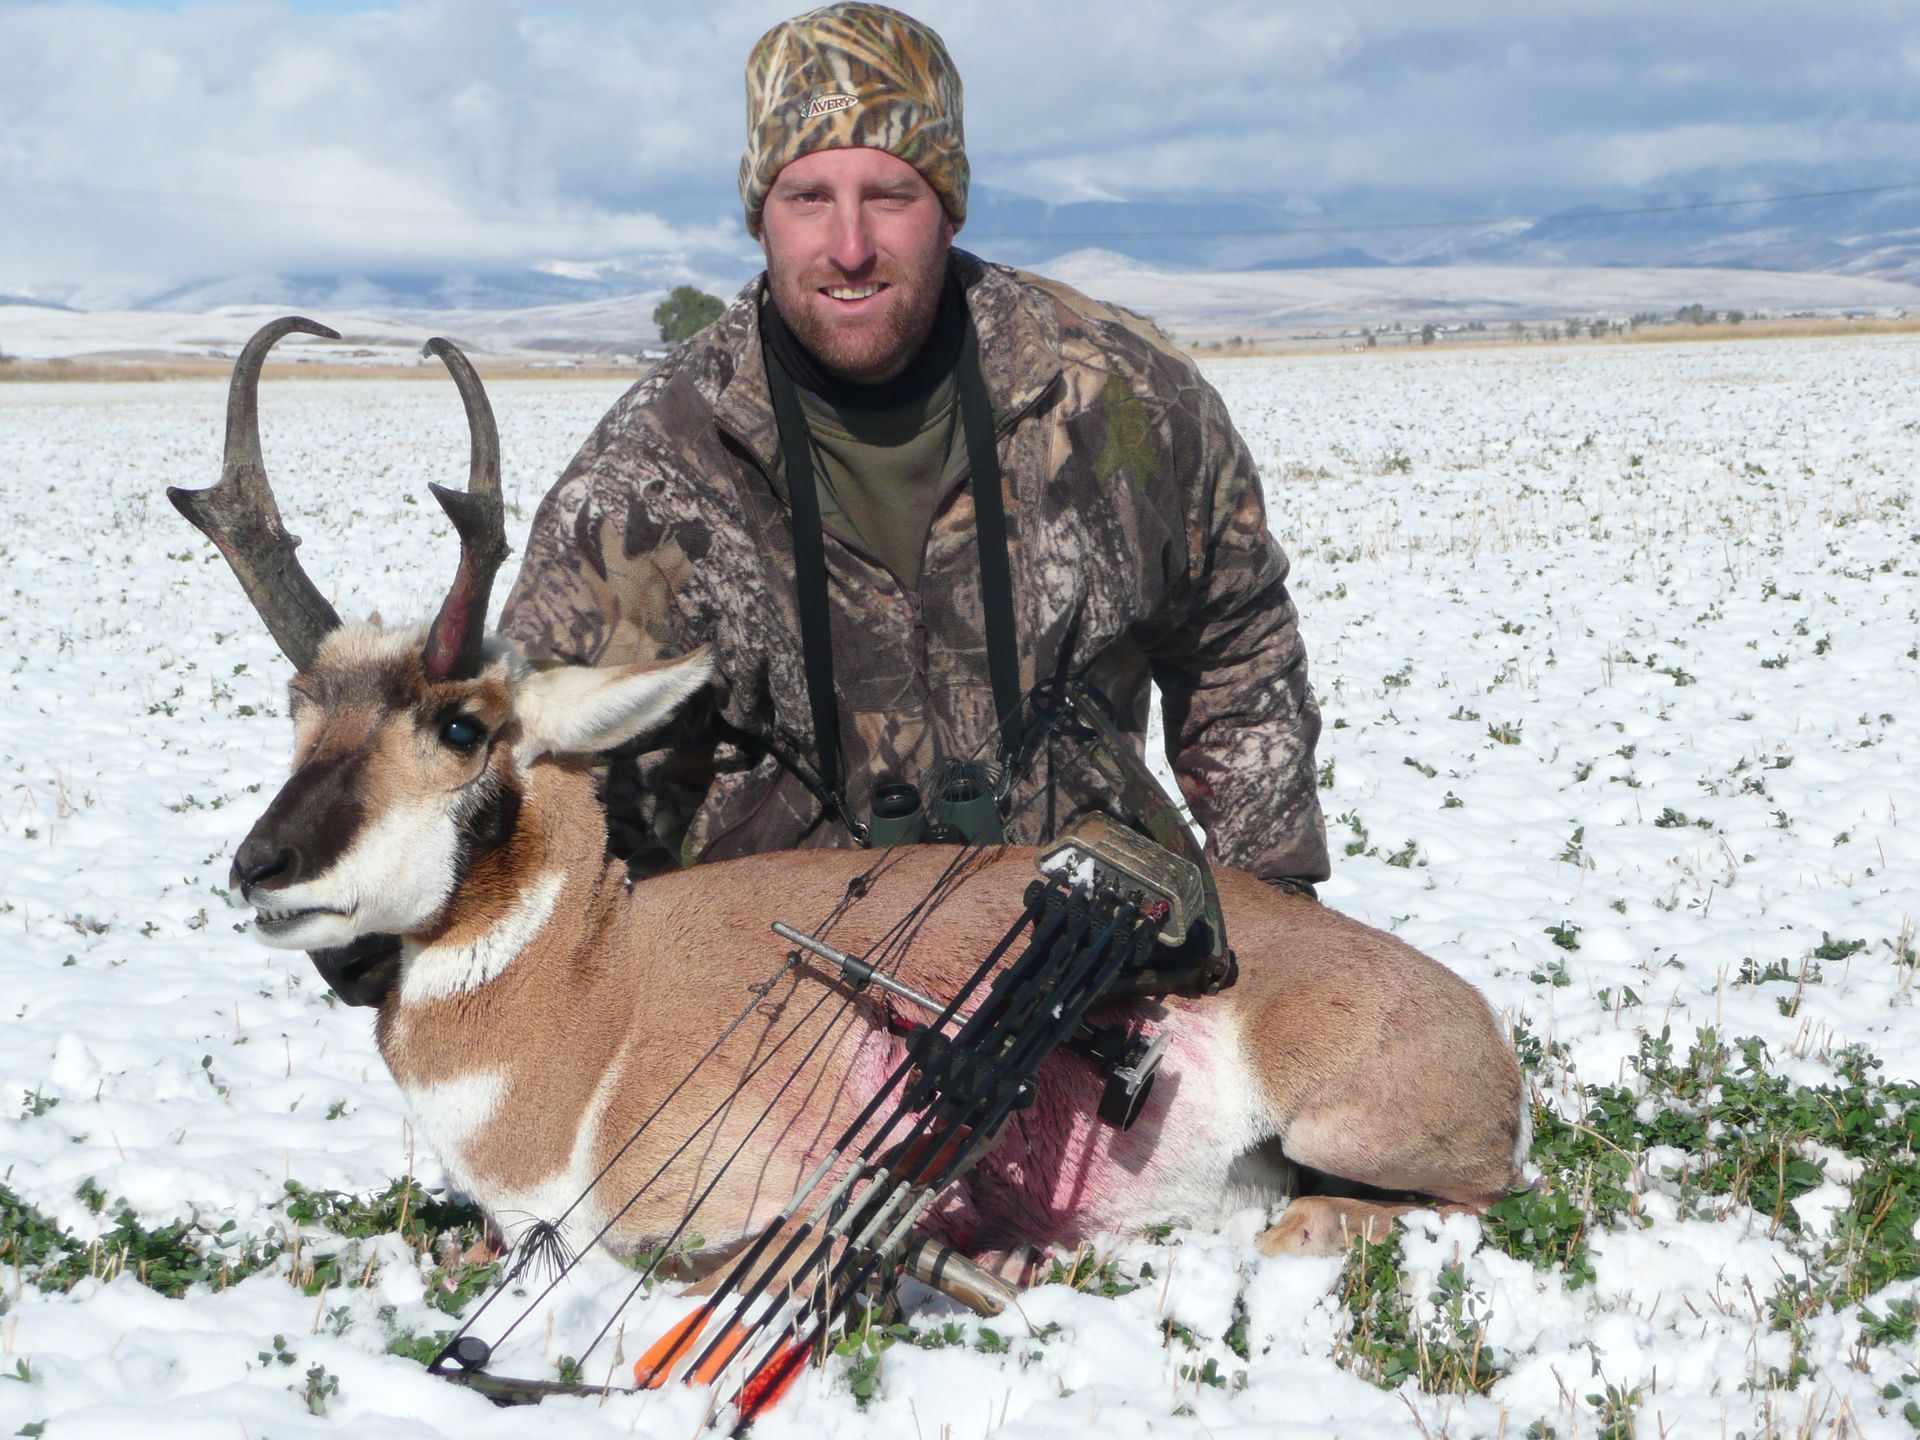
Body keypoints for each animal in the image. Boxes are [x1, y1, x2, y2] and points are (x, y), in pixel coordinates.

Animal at [175, 318, 1526, 1301]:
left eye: (460, 727)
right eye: (300, 708)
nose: (262, 868)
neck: (595, 985)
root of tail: (1477, 1024)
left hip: (1350, 1127)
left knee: (1444, 1202)